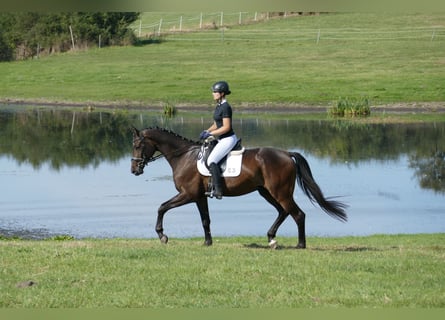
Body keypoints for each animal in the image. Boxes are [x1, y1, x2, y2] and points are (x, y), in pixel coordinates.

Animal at [130, 126, 346, 249]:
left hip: (280, 192)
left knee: (298, 214)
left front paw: (162, 236)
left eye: (138, 145)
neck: (183, 156)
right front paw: (207, 242)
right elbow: (205, 220)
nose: (134, 170)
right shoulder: (199, 196)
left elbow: (162, 207)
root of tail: (286, 153)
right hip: (266, 192)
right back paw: (271, 239)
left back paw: (300, 245)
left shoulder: (187, 194)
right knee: (283, 212)